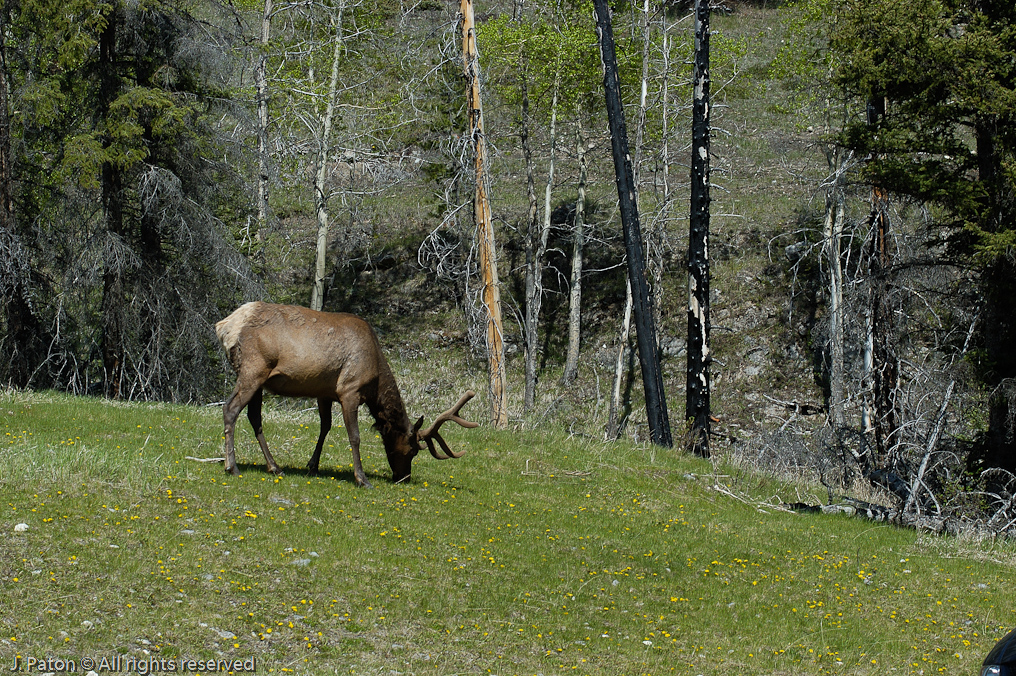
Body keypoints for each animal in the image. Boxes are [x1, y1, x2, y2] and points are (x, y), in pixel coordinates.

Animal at [214, 300, 475, 485]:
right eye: (413, 451)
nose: (404, 478)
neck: (375, 378)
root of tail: (224, 326)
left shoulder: (325, 392)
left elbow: (325, 427)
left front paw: (313, 465)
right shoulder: (349, 389)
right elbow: (354, 436)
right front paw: (361, 478)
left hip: (259, 380)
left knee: (254, 417)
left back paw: (274, 466)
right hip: (253, 368)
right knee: (230, 409)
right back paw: (231, 466)